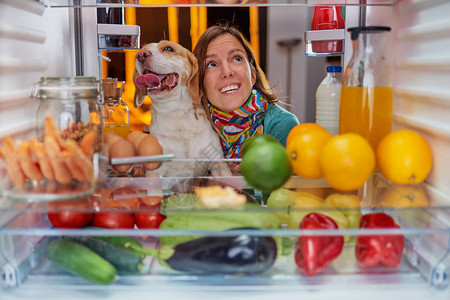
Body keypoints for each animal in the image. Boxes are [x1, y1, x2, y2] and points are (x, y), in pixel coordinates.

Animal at [133, 42, 230, 178]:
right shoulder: (155, 172)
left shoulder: (217, 162)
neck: (176, 112)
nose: (141, 55)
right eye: (142, 49)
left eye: (168, 48)